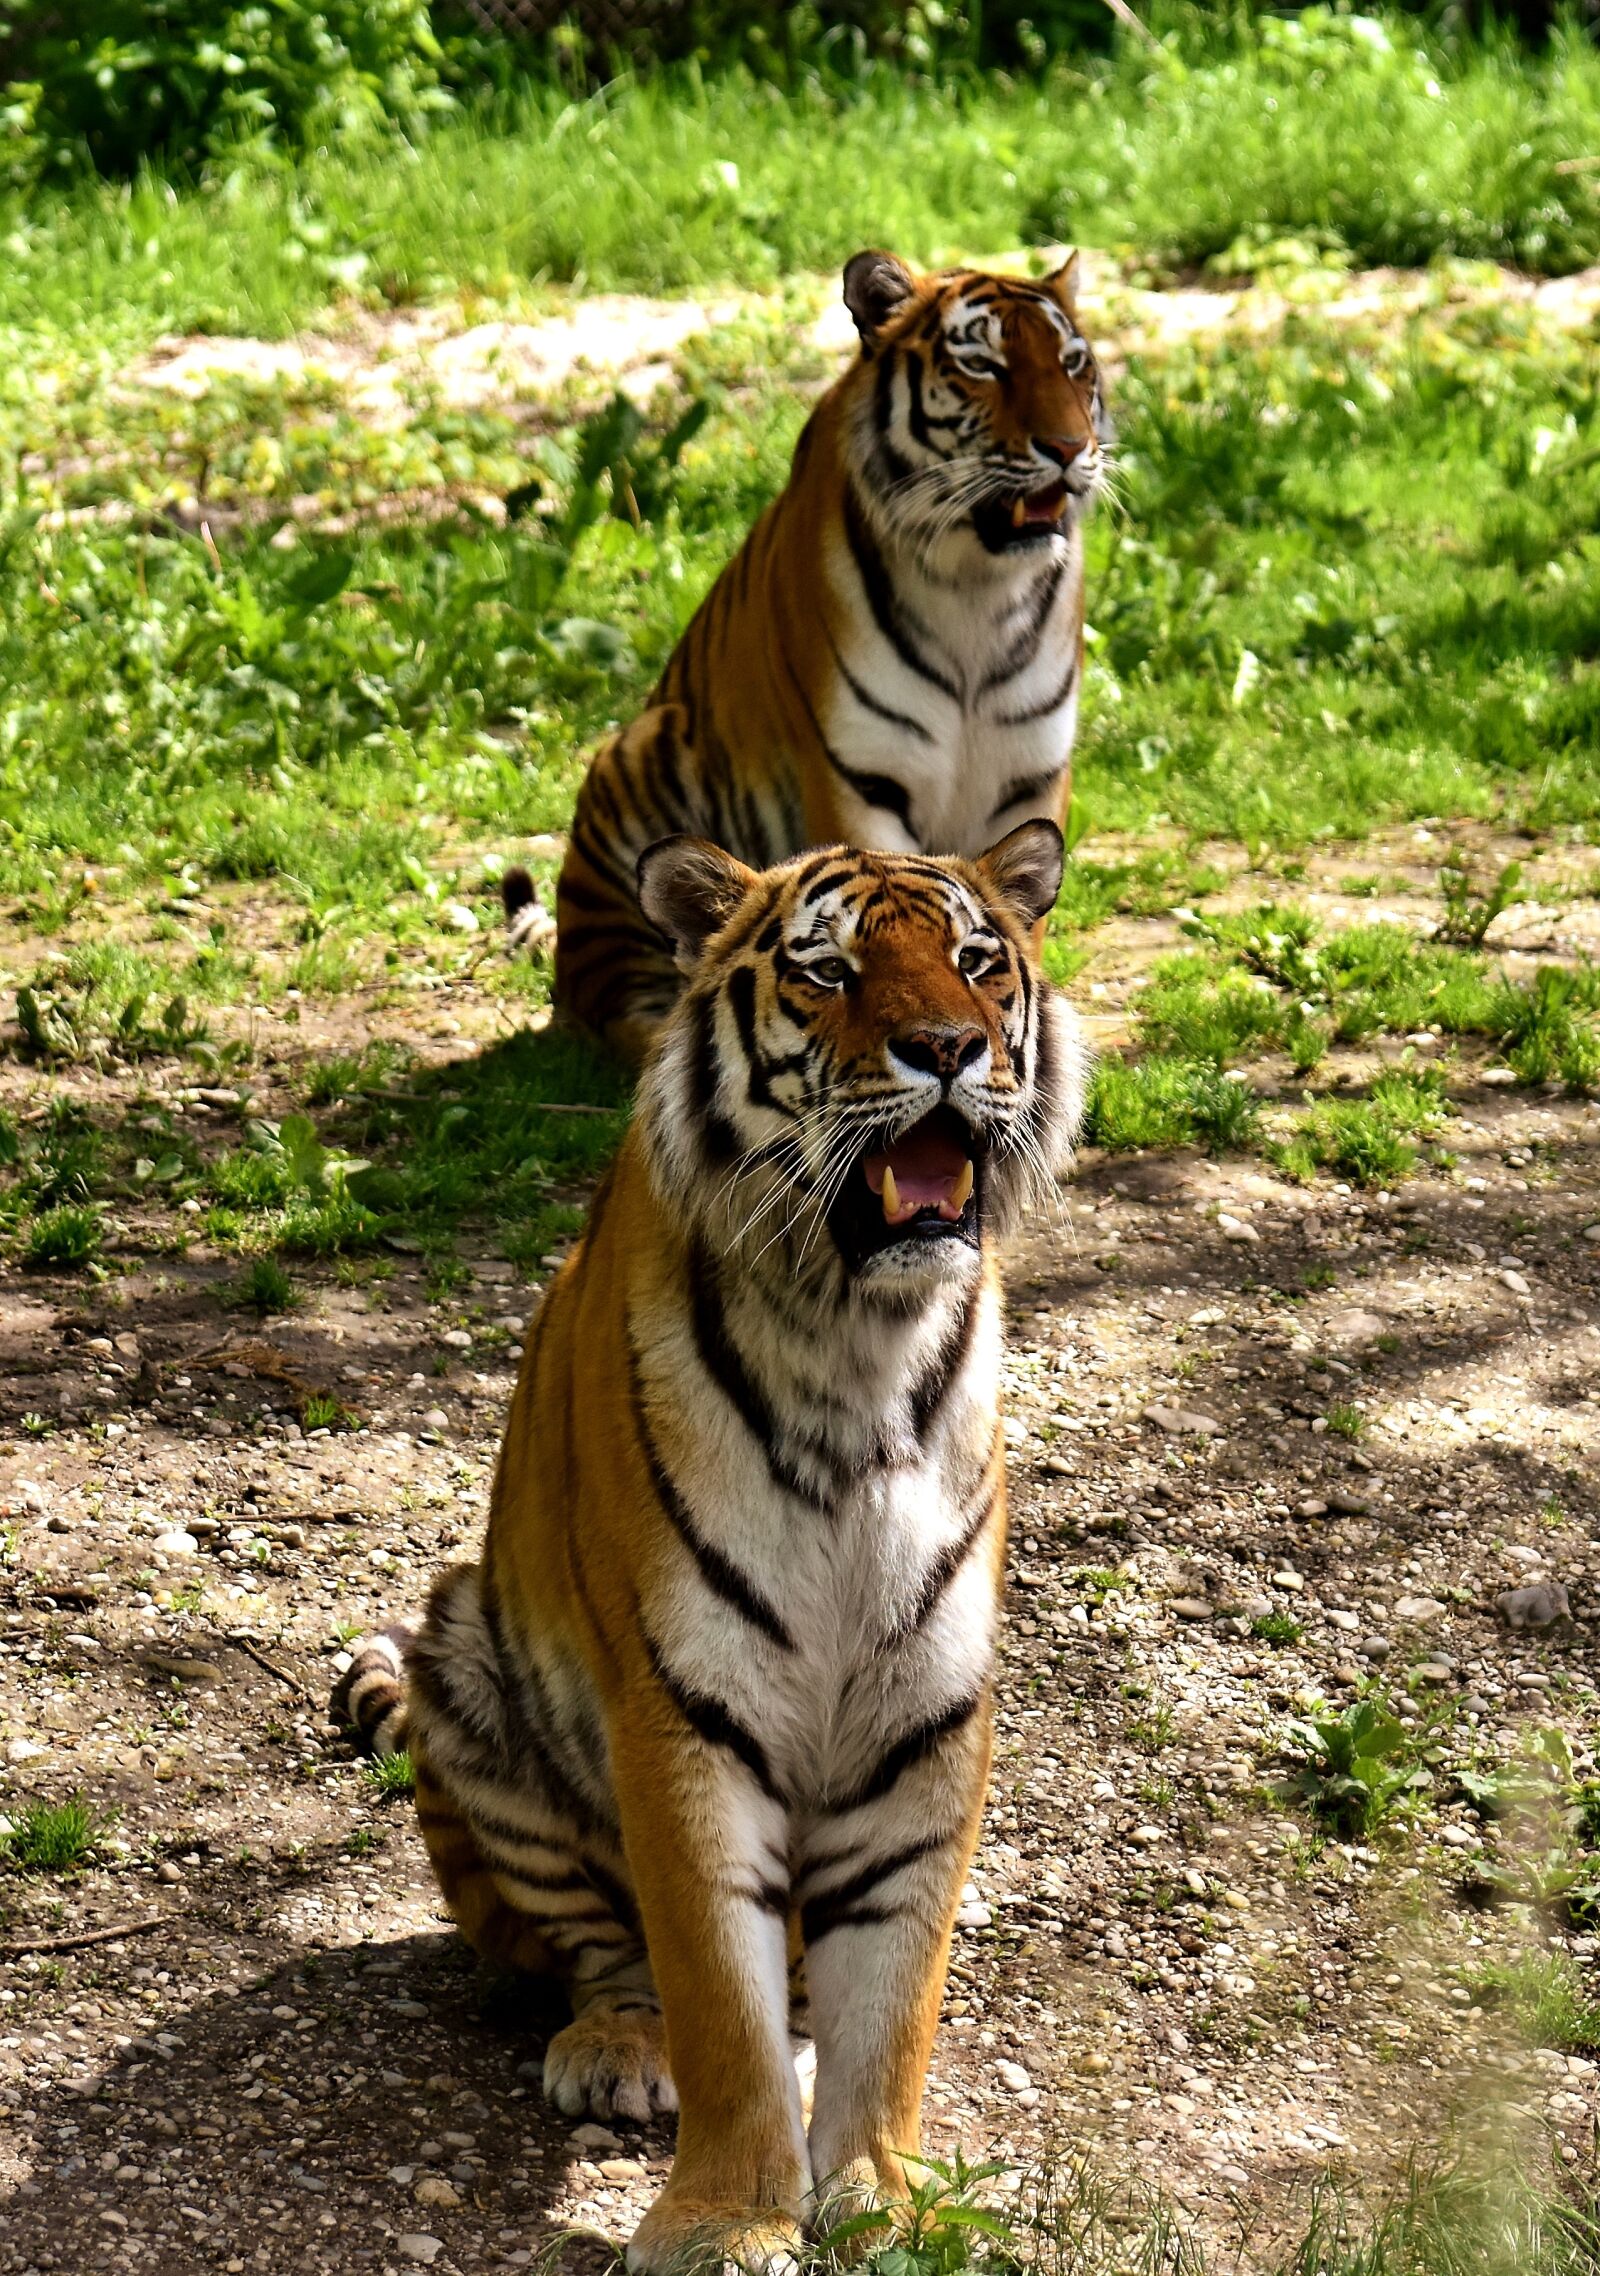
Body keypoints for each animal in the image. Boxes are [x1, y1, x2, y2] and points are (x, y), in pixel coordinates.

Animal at [336, 821, 1084, 2272]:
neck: (861, 1338)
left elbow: (892, 1998)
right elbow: (714, 1997)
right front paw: (729, 2221)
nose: (948, 1049)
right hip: (469, 1670)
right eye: (827, 971)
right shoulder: (682, 1710)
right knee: (599, 1952)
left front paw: (883, 2194)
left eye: (977, 963)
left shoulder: (928, 1714)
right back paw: (620, 2049)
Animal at [543, 246, 1112, 1064]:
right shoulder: (860, 778)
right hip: (641, 765)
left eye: (1073, 364)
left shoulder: (1030, 776)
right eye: (983, 365)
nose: (1069, 448)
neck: (976, 586)